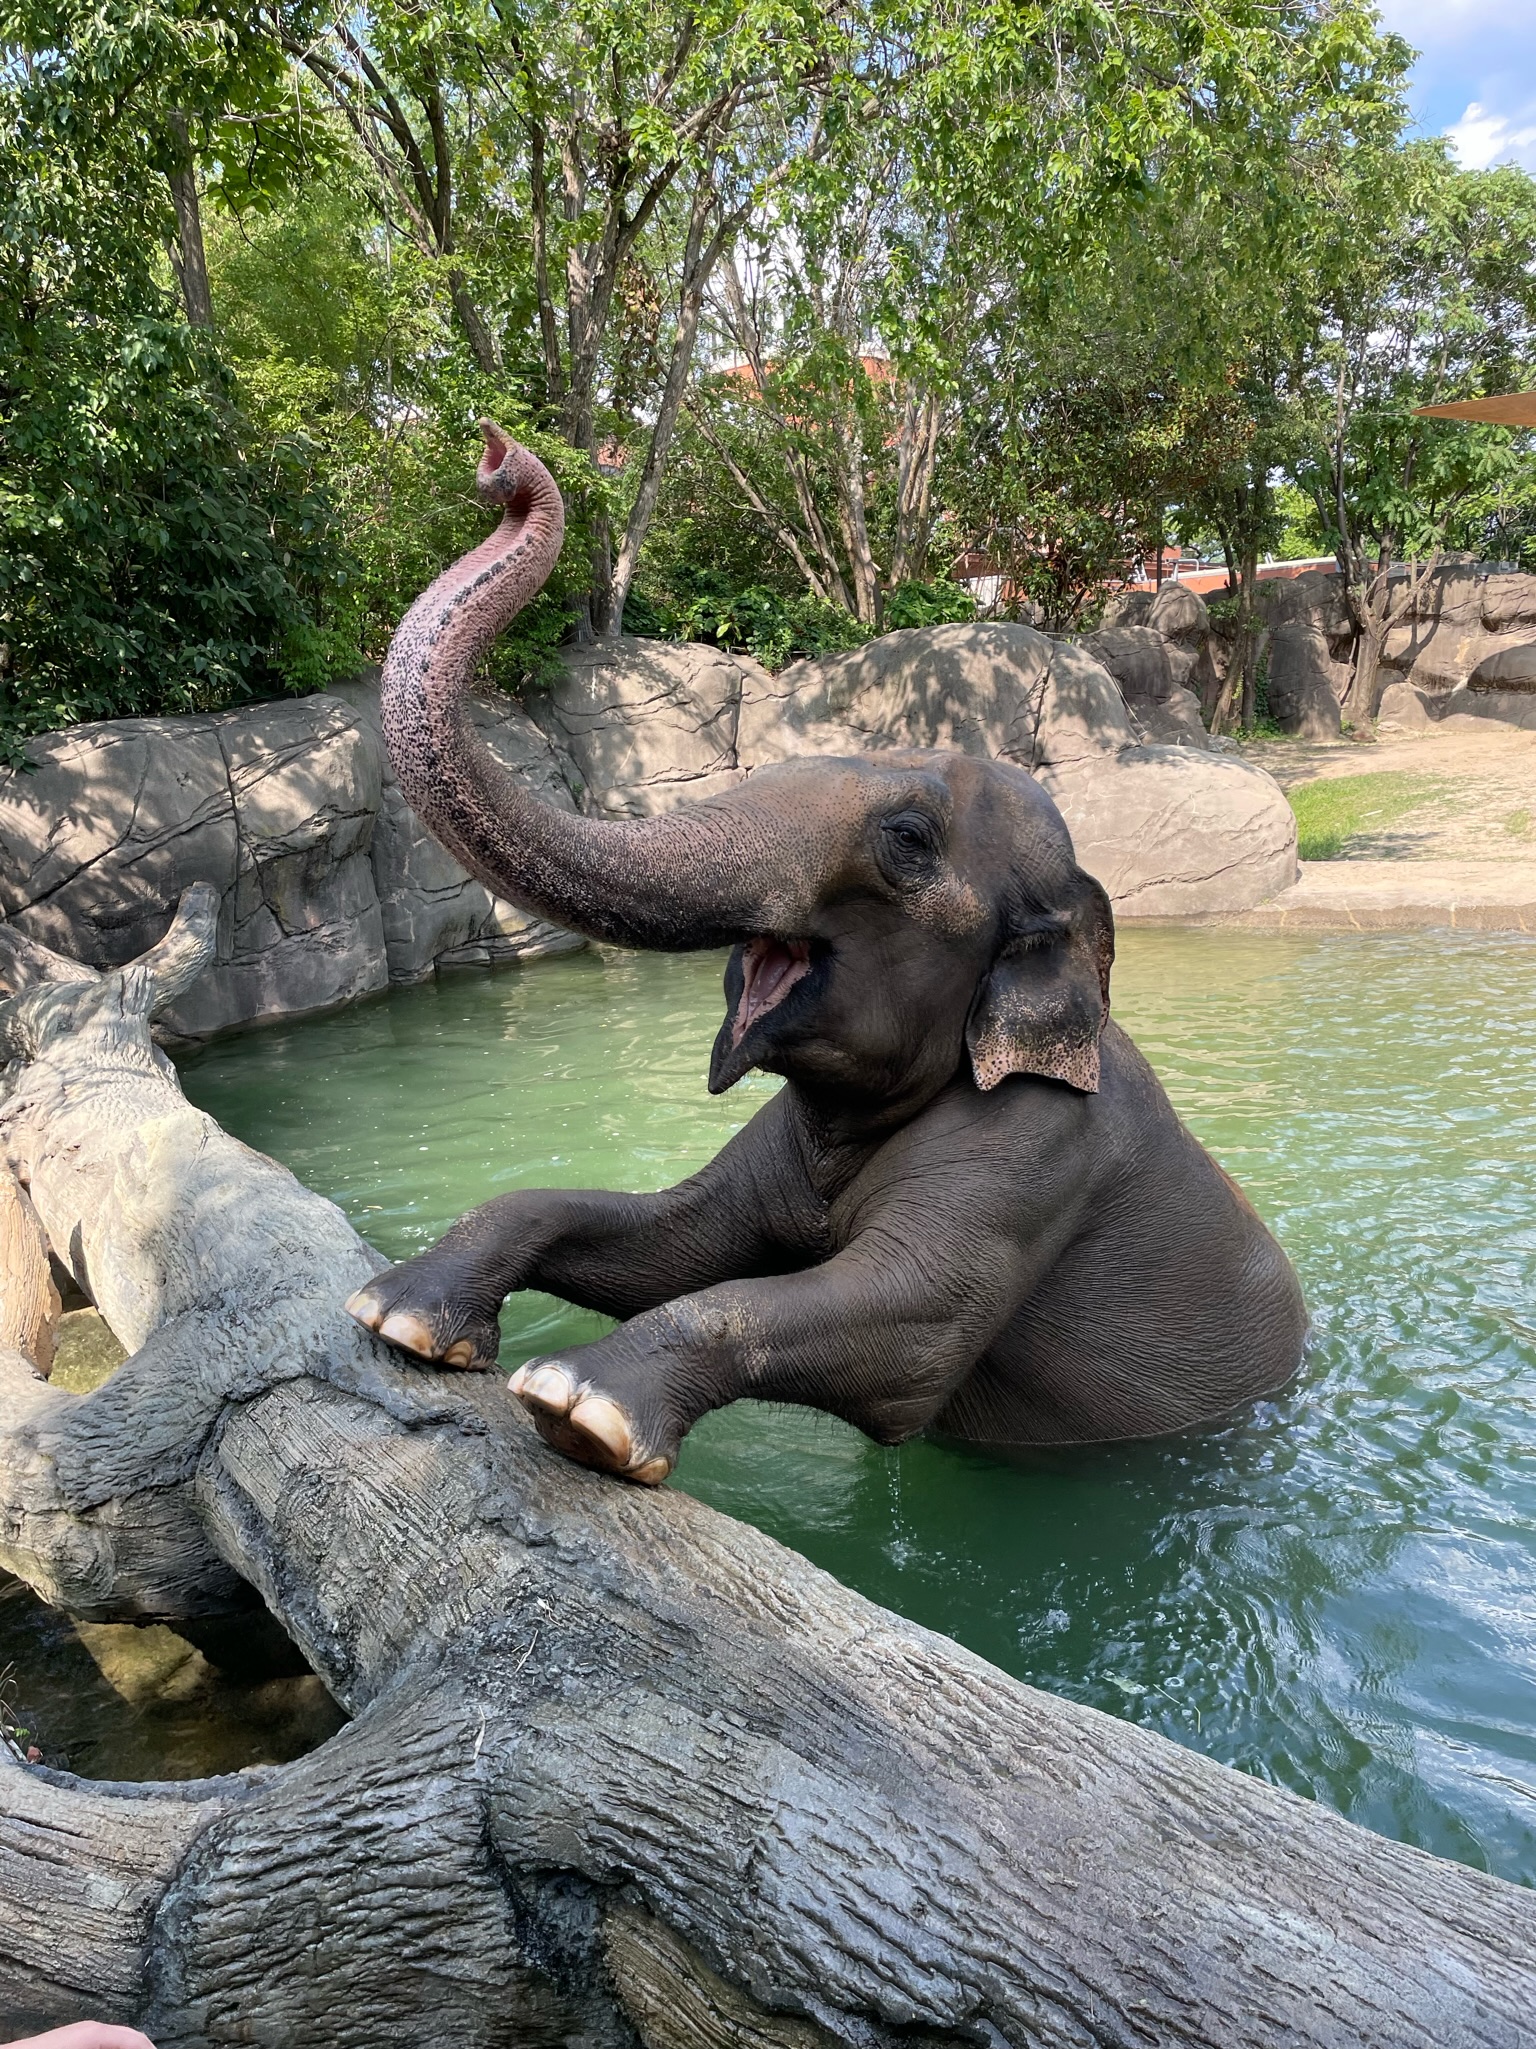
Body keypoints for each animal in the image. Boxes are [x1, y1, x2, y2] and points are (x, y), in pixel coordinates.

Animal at [346, 422, 1307, 1484]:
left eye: (909, 840)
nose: (499, 462)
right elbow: (676, 1242)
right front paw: (397, 1315)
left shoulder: (1039, 1146)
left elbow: (904, 1329)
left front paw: (576, 1405)